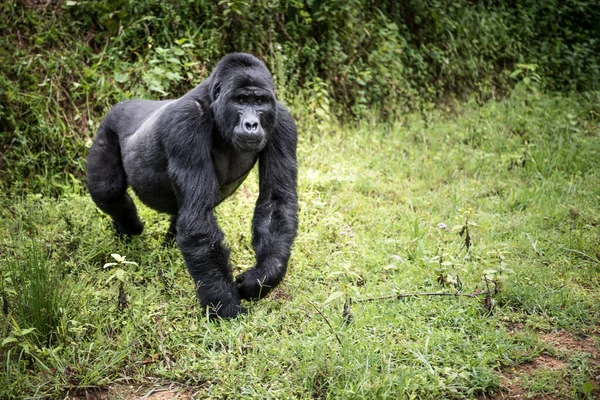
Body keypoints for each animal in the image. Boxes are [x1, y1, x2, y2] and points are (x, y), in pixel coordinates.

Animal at [86, 53, 298, 320]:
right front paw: (225, 308)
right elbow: (198, 220)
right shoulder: (185, 123)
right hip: (109, 126)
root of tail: (122, 104)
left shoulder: (283, 122)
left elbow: (275, 201)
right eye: (241, 100)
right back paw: (127, 225)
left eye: (259, 101)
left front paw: (261, 278)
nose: (251, 124)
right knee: (108, 190)